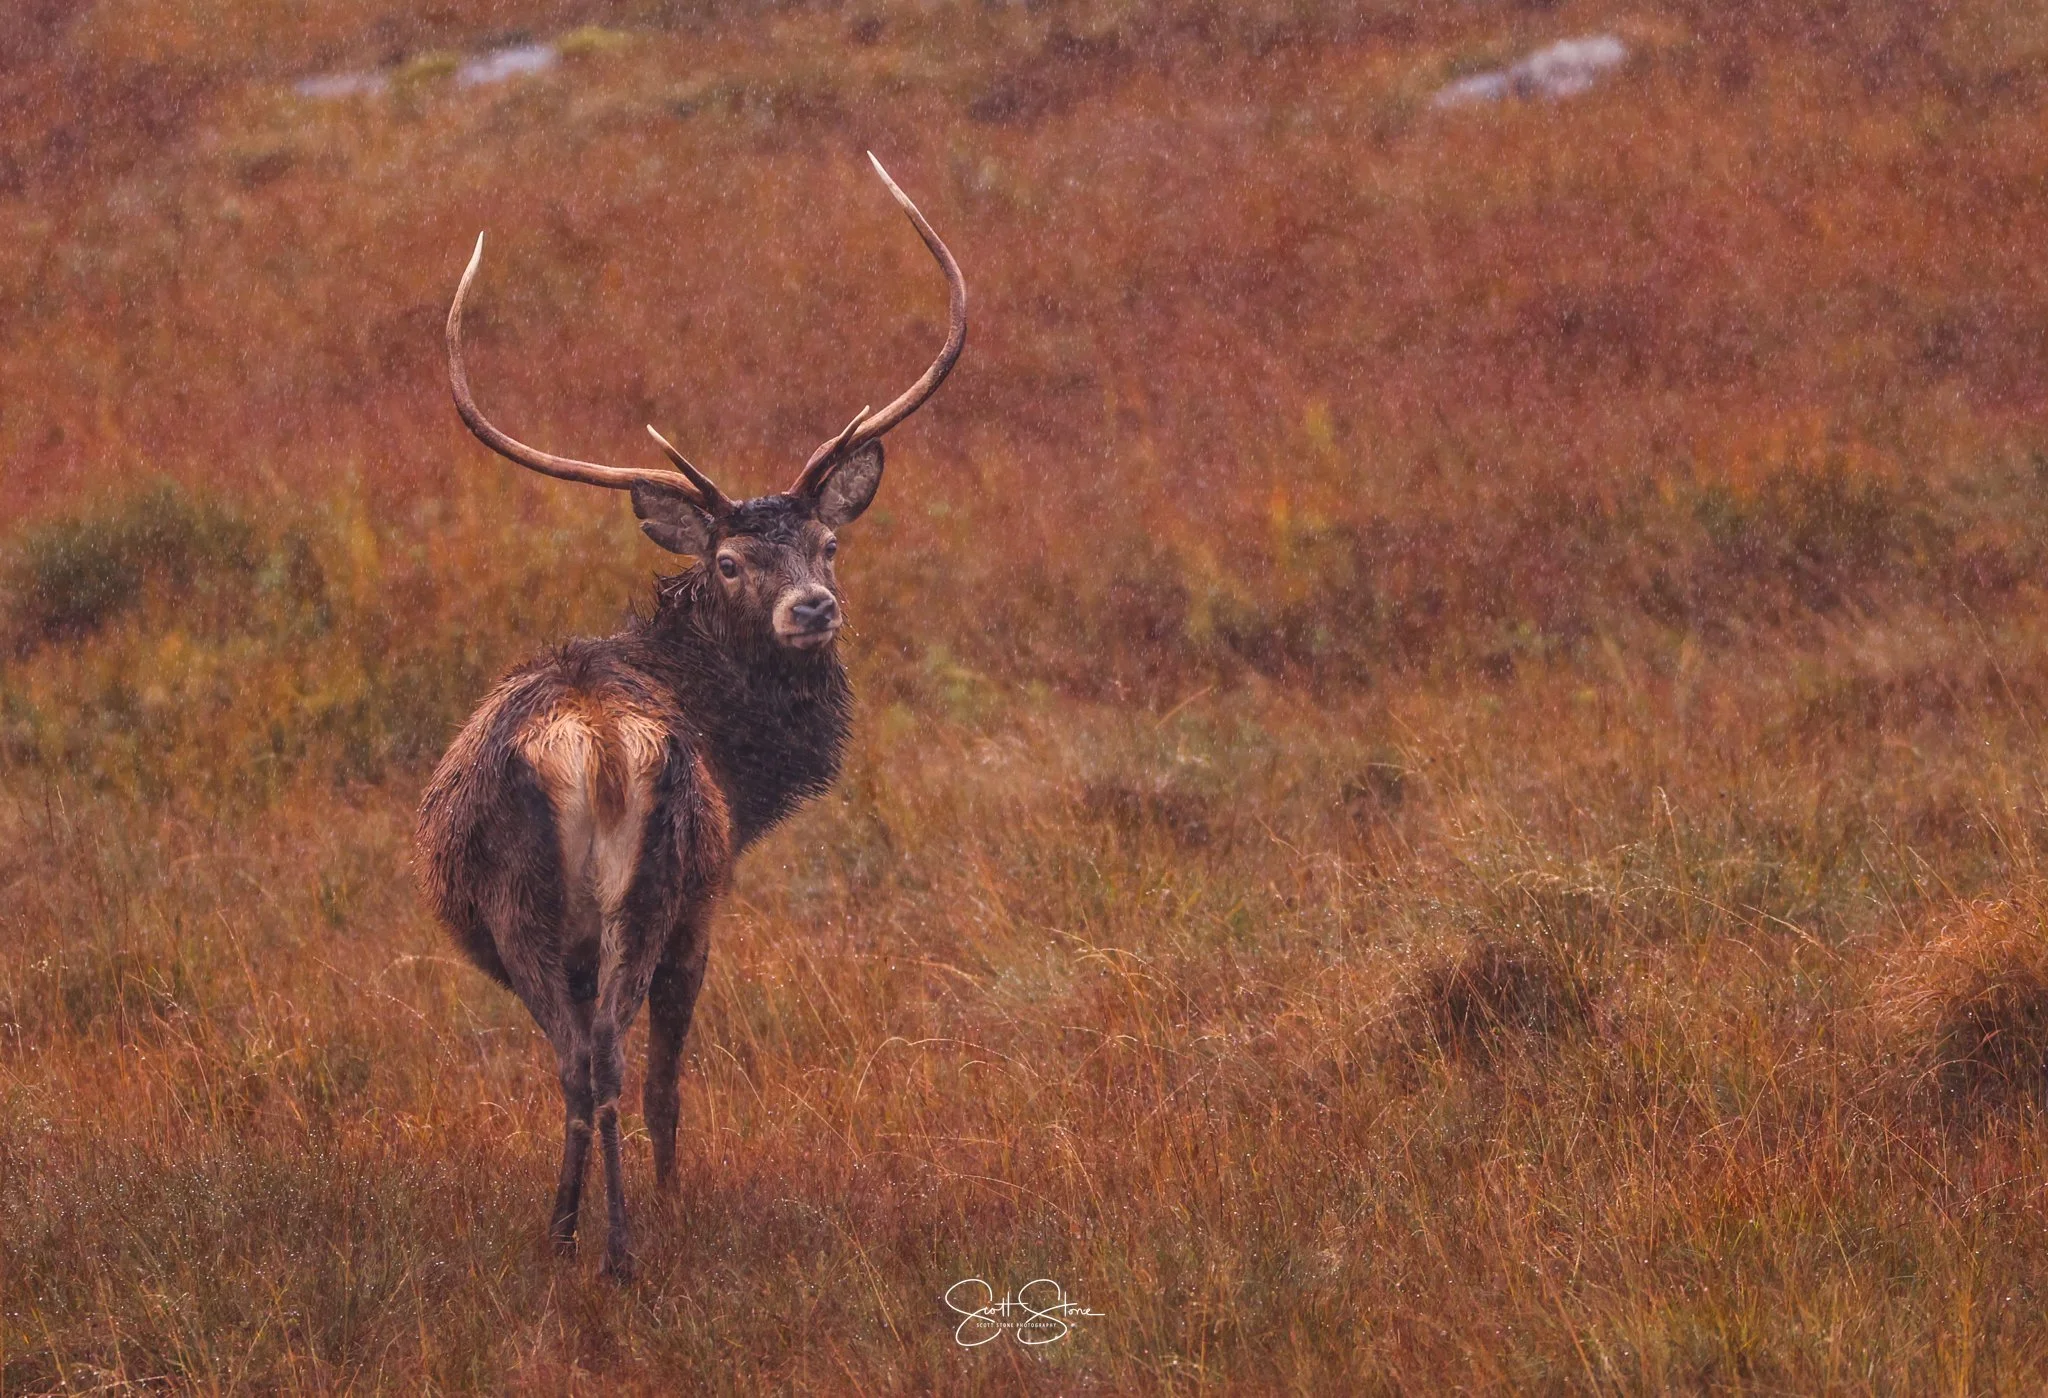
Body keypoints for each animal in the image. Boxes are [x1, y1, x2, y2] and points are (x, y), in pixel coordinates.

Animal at [415, 155, 964, 1281]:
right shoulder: (707, 905)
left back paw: (585, 1239)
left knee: (587, 1065)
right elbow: (668, 1075)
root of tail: (597, 747)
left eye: (827, 546)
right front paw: (673, 1202)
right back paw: (611, 1243)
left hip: (582, 908)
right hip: (633, 897)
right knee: (605, 1062)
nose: (814, 608)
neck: (744, 775)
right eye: (731, 562)